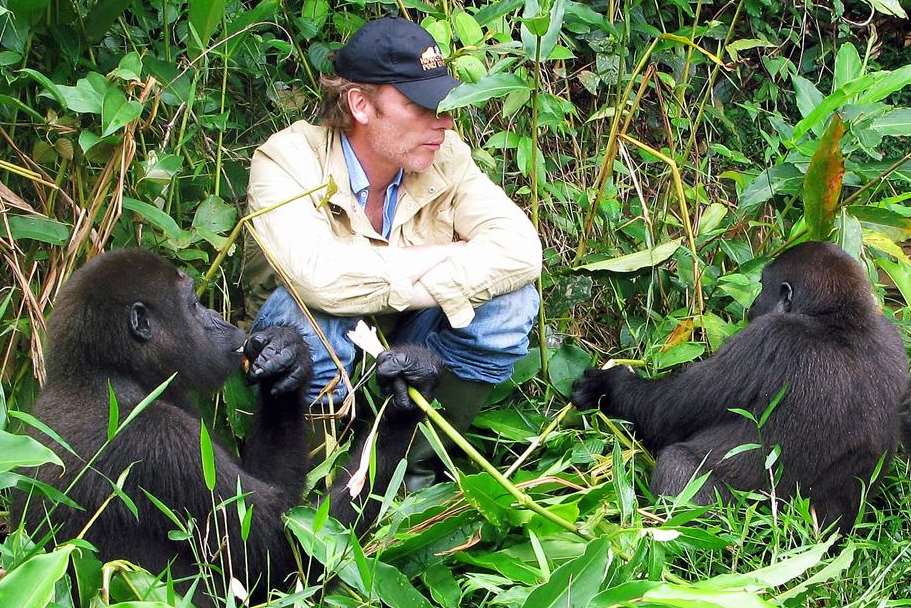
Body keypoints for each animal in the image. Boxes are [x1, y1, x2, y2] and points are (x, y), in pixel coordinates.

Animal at [16, 247, 438, 604]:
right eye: (193, 304)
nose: (220, 320)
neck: (102, 375)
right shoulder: (162, 441)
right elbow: (281, 555)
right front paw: (405, 407)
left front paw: (287, 358)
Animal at [572, 242, 908, 532]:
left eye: (764, 286)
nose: (754, 304)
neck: (842, 319)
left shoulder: (767, 336)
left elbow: (662, 415)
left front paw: (609, 387)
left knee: (677, 464)